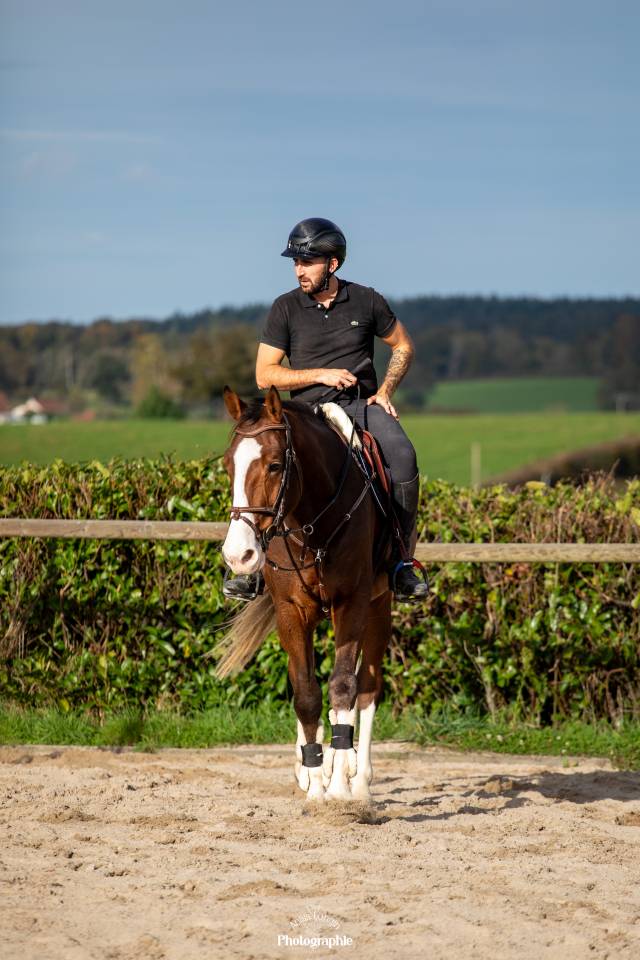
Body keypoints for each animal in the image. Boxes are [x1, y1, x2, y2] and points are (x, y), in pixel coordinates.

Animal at [216, 385, 393, 802]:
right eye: (228, 466)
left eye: (275, 466)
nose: (238, 555)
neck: (310, 524)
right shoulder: (291, 611)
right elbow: (305, 694)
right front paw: (314, 781)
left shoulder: (352, 603)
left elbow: (343, 687)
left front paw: (340, 788)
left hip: (380, 608)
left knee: (367, 689)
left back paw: (358, 779)